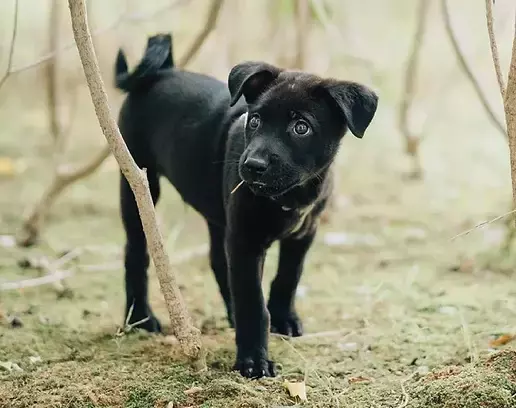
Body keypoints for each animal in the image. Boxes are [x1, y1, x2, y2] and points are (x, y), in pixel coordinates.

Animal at [115, 33, 376, 378]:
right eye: (255, 120)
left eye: (301, 127)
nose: (252, 165)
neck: (290, 196)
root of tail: (160, 72)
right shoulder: (246, 242)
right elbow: (253, 302)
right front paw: (253, 360)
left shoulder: (302, 234)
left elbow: (287, 278)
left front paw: (283, 319)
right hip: (138, 182)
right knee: (135, 253)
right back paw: (140, 318)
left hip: (218, 214)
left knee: (217, 261)